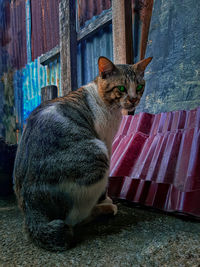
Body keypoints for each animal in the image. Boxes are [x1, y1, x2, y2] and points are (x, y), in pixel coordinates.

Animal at [13, 56, 152, 251]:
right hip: (98, 155)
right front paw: (105, 199)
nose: (133, 99)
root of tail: (30, 205)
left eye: (139, 87)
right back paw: (103, 209)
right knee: (74, 219)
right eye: (121, 88)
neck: (103, 99)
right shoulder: (106, 142)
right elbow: (106, 184)